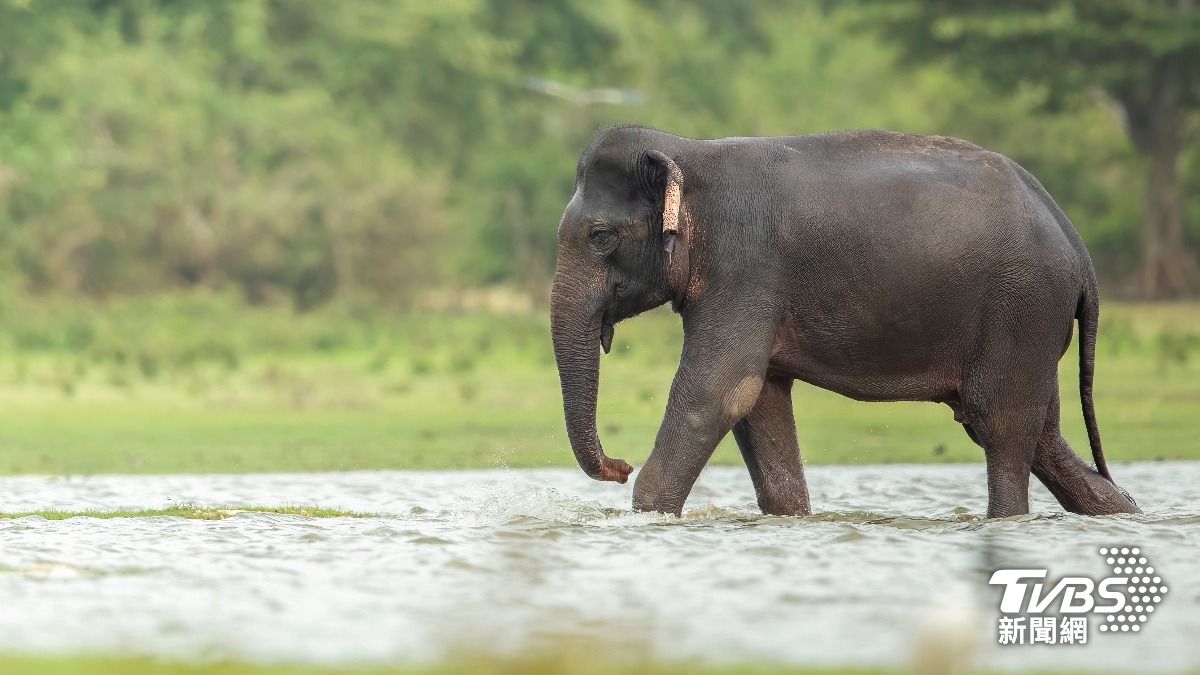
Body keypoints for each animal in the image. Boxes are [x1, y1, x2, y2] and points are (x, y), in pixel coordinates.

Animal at [550, 125, 1140, 519]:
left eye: (600, 236)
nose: (618, 465)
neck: (687, 151)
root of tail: (1075, 243)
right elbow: (759, 401)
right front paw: (790, 519)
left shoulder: (744, 268)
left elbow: (719, 391)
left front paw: (647, 514)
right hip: (1030, 325)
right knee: (1039, 433)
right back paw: (1121, 512)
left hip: (1022, 309)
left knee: (1001, 428)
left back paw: (1008, 520)